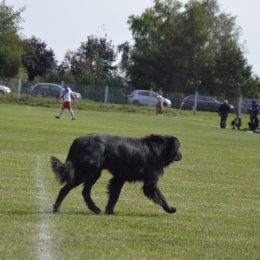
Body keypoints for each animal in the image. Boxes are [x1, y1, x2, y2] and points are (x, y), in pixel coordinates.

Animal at [50, 133, 181, 214]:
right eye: (179, 148)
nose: (181, 156)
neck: (158, 149)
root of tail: (81, 140)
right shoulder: (151, 182)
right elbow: (161, 196)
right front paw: (170, 209)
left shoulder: (119, 178)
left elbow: (114, 196)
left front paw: (109, 211)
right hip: (85, 172)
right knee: (65, 189)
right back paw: (56, 209)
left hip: (94, 173)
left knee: (85, 192)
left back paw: (95, 209)